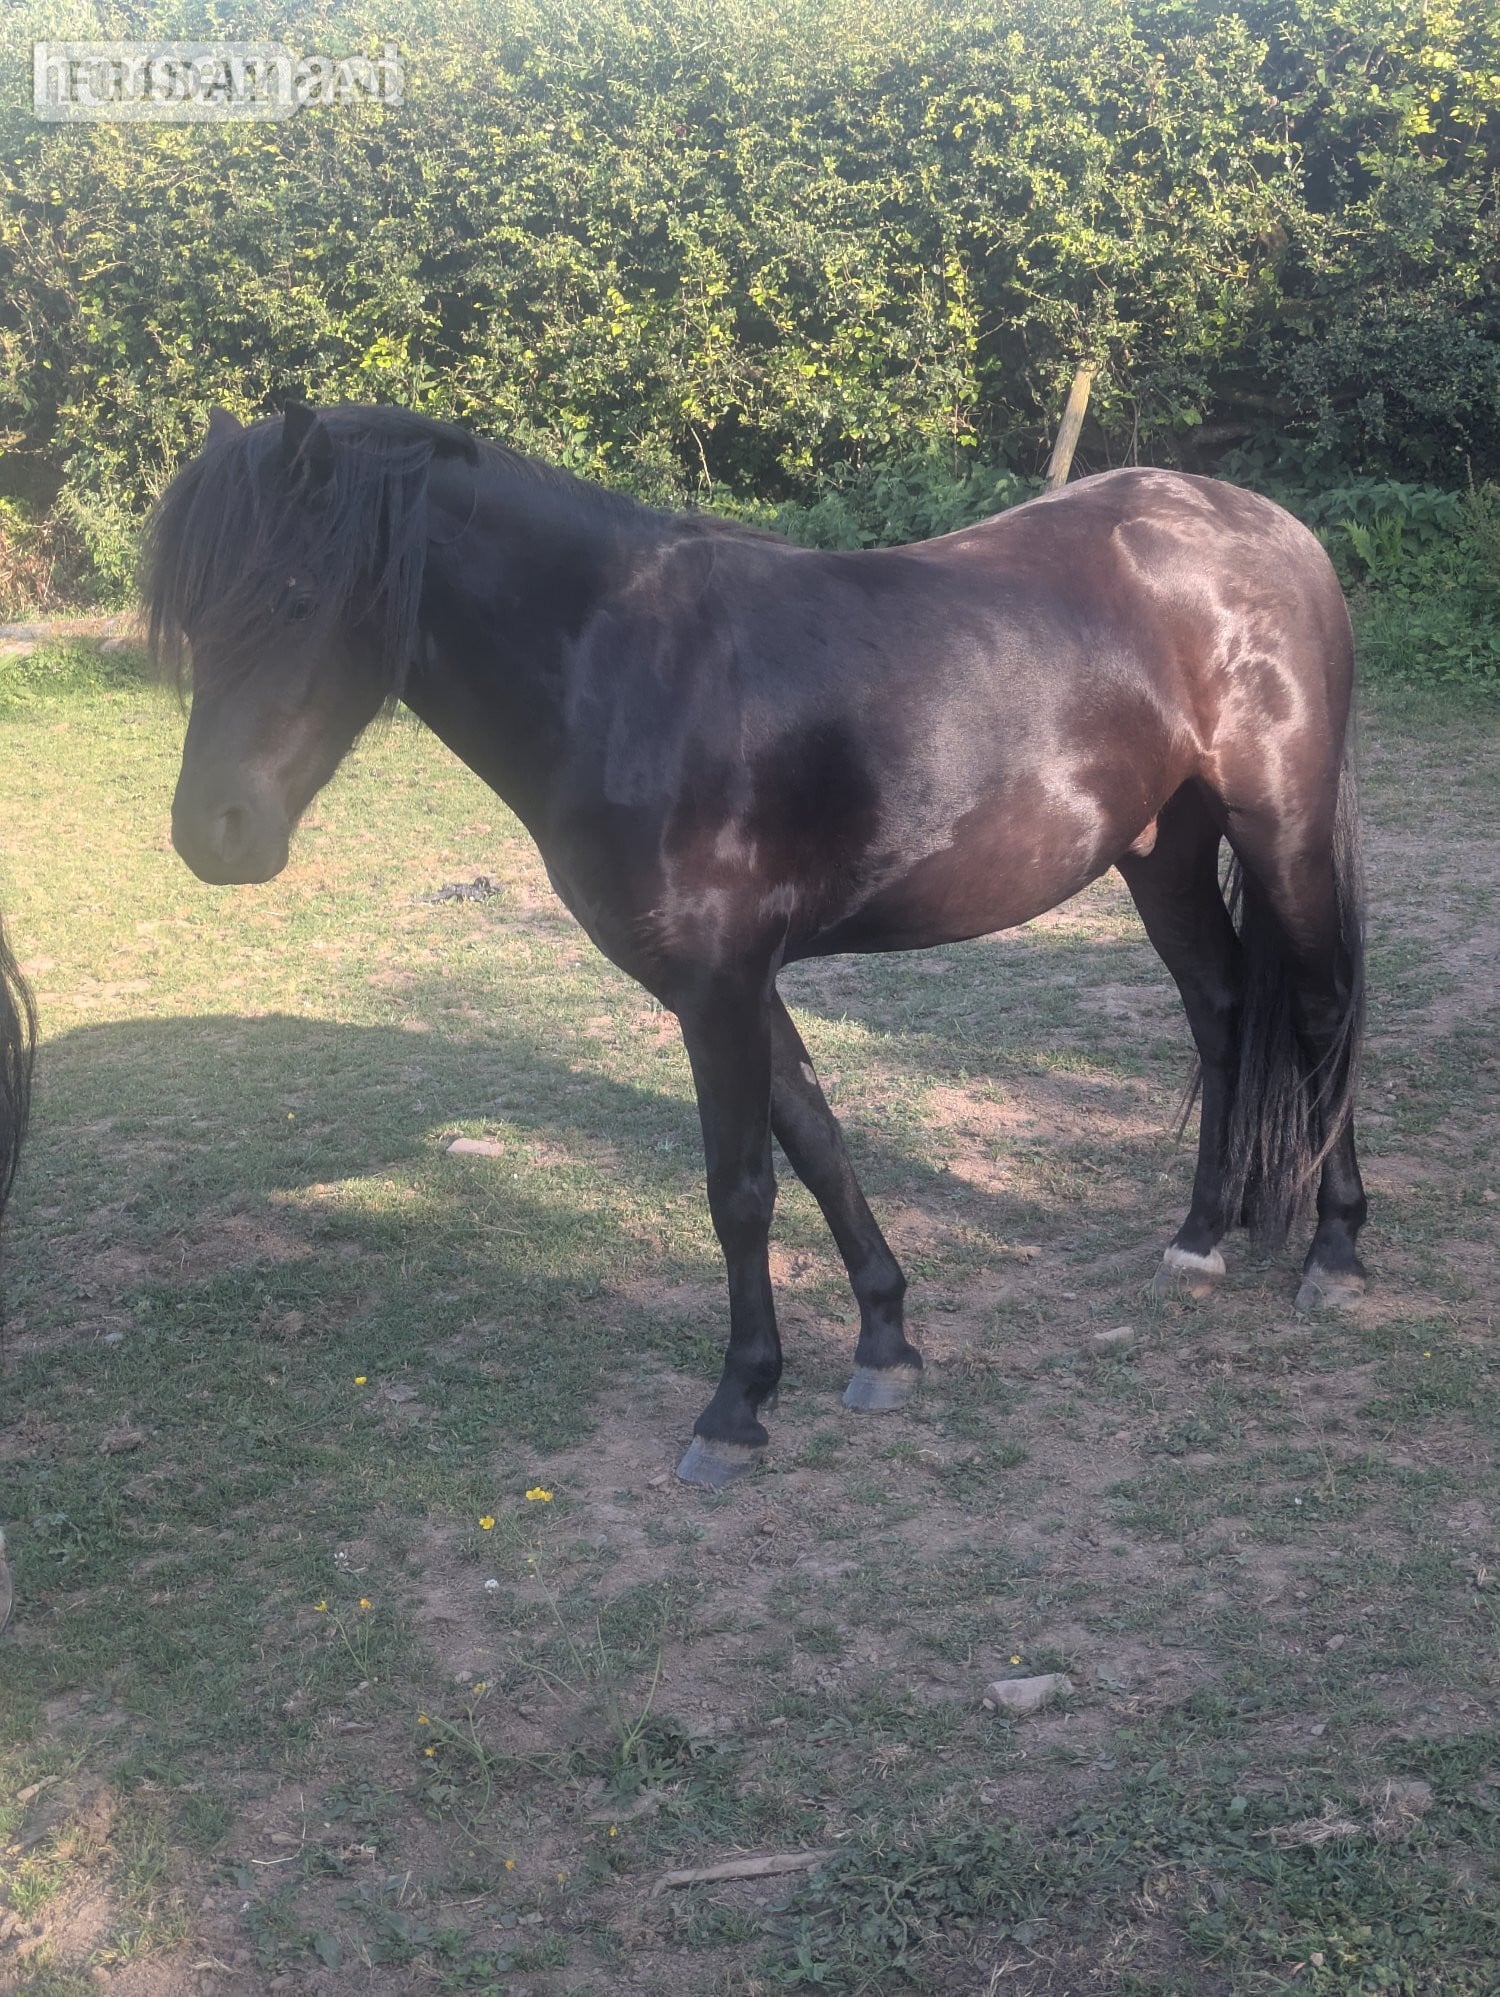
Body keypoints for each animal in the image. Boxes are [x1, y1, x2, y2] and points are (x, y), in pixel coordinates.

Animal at [148, 403, 1367, 1488]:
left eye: (296, 597)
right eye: (195, 615)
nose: (212, 835)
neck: (621, 670)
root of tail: (1273, 532)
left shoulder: (717, 984)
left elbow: (739, 1187)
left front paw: (737, 1406)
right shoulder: (732, 982)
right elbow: (817, 1140)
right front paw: (885, 1342)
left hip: (1280, 830)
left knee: (1316, 1010)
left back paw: (1337, 1252)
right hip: (1162, 847)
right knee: (1220, 1008)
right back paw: (1201, 1235)